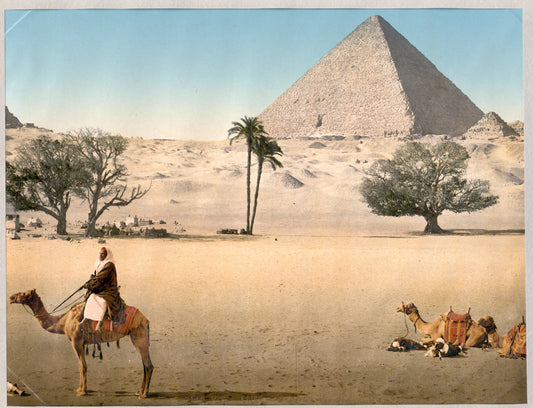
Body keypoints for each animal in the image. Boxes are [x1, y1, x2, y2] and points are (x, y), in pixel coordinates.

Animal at [8, 290, 154, 398]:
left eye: (25, 294)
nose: (11, 297)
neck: (63, 321)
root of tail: (146, 320)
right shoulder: (81, 343)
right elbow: (80, 365)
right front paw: (80, 389)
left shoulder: (76, 341)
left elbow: (82, 366)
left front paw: (82, 392)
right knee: (145, 364)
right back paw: (139, 391)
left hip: (139, 336)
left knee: (148, 365)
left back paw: (144, 395)